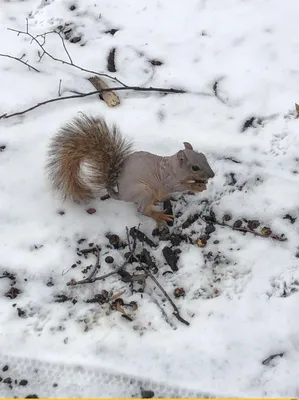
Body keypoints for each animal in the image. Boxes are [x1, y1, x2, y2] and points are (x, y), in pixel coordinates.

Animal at [46, 114, 216, 223]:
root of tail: (121, 194)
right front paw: (195, 186)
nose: (212, 175)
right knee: (141, 210)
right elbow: (178, 187)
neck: (173, 167)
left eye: (204, 156)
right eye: (195, 167)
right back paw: (158, 216)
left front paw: (202, 184)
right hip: (144, 190)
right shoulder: (168, 180)